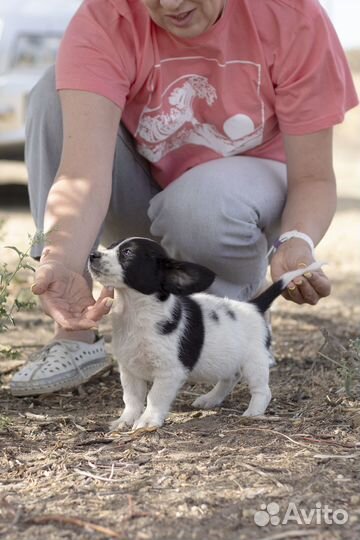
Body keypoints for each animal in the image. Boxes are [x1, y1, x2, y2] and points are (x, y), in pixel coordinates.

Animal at [88, 236, 322, 430]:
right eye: (110, 247)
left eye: (127, 253)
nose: (92, 255)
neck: (134, 312)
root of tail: (254, 306)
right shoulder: (129, 370)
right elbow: (132, 399)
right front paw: (125, 420)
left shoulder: (169, 372)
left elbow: (154, 397)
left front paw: (147, 421)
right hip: (229, 361)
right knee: (230, 378)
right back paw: (211, 398)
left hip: (254, 363)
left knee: (263, 391)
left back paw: (253, 412)